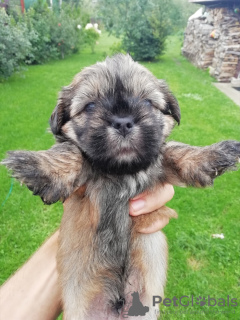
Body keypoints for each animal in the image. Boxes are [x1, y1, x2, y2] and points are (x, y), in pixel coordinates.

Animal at [2, 53, 240, 318]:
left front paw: (215, 154)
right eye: (91, 106)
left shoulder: (158, 161)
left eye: (146, 102)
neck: (120, 171)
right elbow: (71, 150)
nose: (123, 122)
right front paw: (37, 166)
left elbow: (174, 149)